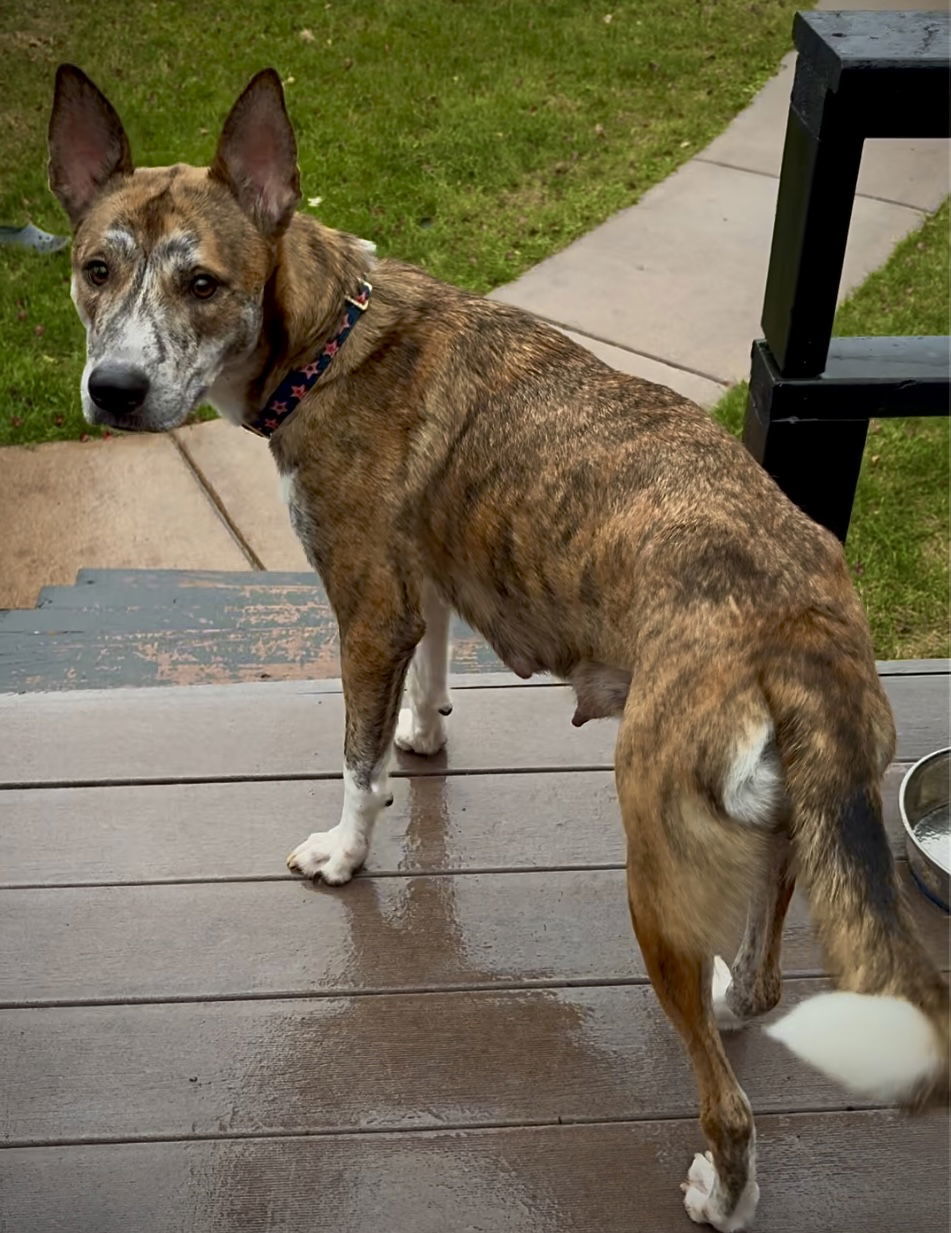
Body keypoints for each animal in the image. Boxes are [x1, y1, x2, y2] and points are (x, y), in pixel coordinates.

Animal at [48, 69, 947, 1233]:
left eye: (201, 282)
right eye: (94, 270)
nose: (112, 390)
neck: (332, 334)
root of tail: (800, 632)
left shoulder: (366, 606)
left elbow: (353, 756)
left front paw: (346, 851)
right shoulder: (421, 581)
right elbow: (425, 682)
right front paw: (425, 737)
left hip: (654, 868)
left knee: (729, 1100)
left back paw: (722, 1192)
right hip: (782, 839)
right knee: (756, 985)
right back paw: (732, 1004)